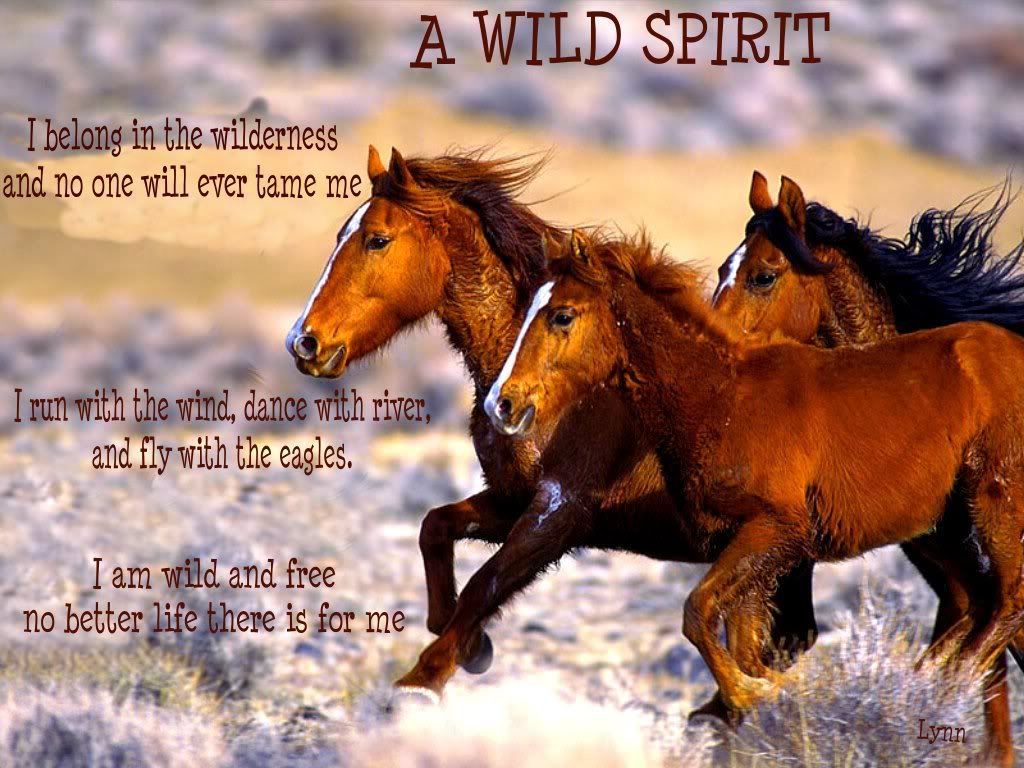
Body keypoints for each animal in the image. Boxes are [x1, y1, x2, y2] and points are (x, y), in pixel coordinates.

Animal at [286, 146, 818, 709]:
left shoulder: (562, 511)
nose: (303, 342)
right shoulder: (514, 499)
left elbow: (486, 583)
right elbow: (436, 528)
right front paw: (466, 641)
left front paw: (424, 679)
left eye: (377, 239)